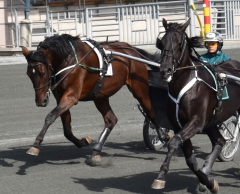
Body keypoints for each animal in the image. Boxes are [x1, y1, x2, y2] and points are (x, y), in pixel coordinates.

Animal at [21, 34, 171, 166]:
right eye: (29, 74)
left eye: (42, 73)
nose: (40, 101)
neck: (69, 60)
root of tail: (130, 49)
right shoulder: (61, 97)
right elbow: (67, 130)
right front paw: (84, 142)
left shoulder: (71, 96)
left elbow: (50, 116)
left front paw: (35, 145)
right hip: (100, 96)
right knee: (111, 119)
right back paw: (96, 152)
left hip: (139, 89)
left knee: (151, 112)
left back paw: (163, 136)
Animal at [151, 17, 240, 192]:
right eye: (161, 43)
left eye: (179, 44)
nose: (165, 70)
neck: (185, 83)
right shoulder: (179, 124)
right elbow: (190, 159)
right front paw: (208, 182)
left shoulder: (196, 122)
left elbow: (173, 142)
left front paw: (160, 176)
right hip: (211, 122)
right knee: (220, 141)